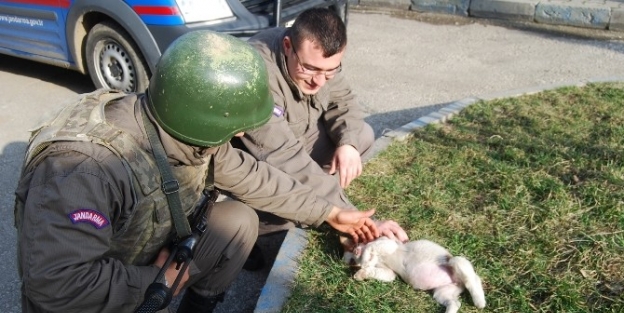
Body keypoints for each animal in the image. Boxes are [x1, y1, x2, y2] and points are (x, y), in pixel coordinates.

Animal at [344, 236, 486, 312]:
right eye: (352, 260)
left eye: (352, 255)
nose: (355, 250)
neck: (379, 258)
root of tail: (457, 281)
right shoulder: (389, 272)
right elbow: (379, 271)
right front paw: (361, 273)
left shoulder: (388, 243)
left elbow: (370, 246)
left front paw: (364, 262)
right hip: (442, 293)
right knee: (455, 303)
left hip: (456, 261)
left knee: (474, 279)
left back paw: (480, 302)